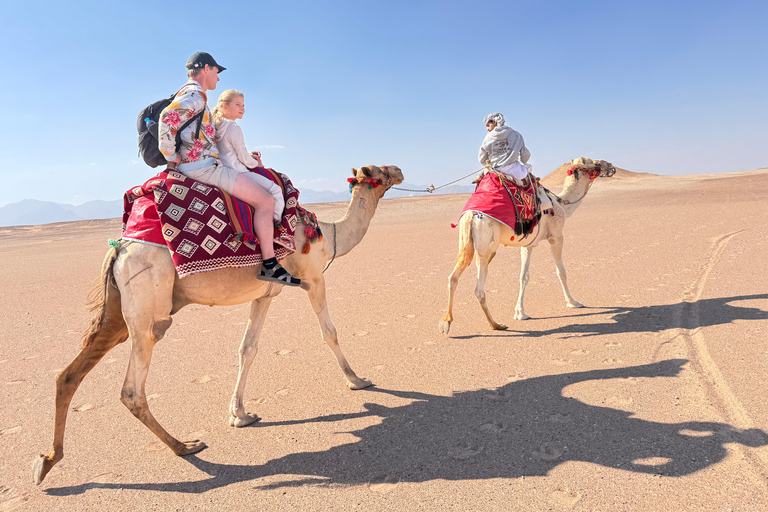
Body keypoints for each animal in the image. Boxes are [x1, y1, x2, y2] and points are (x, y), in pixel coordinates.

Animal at [32, 164, 404, 485]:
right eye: (379, 170)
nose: (400, 170)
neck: (328, 235)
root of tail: (119, 250)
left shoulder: (266, 293)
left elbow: (248, 348)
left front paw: (240, 414)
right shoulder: (313, 279)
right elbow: (329, 332)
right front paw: (358, 380)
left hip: (117, 314)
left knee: (68, 374)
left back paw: (47, 461)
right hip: (147, 310)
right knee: (131, 391)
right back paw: (185, 447)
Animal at [439, 157, 615, 334]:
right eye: (595, 163)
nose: (611, 166)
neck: (562, 205)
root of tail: (470, 216)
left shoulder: (528, 244)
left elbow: (523, 276)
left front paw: (520, 312)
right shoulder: (556, 237)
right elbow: (561, 272)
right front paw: (573, 302)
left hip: (466, 244)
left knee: (453, 278)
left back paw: (447, 323)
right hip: (487, 247)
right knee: (479, 289)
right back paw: (496, 325)